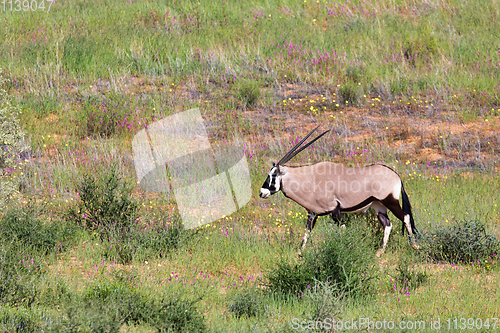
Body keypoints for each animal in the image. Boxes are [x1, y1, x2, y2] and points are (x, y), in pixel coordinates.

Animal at [260, 126, 420, 255]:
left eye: (273, 175)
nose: (262, 192)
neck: (310, 179)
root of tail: (396, 175)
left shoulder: (334, 210)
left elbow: (342, 229)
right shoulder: (312, 214)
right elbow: (307, 231)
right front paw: (299, 253)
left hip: (389, 201)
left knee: (405, 217)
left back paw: (415, 246)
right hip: (378, 205)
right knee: (387, 223)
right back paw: (379, 252)